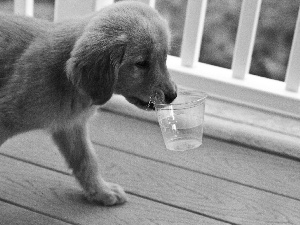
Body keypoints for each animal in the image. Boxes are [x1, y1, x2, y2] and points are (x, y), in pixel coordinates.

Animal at [0, 1, 177, 206]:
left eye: (165, 58)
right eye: (141, 63)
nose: (173, 95)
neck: (66, 80)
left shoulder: (70, 125)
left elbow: (86, 160)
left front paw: (101, 191)